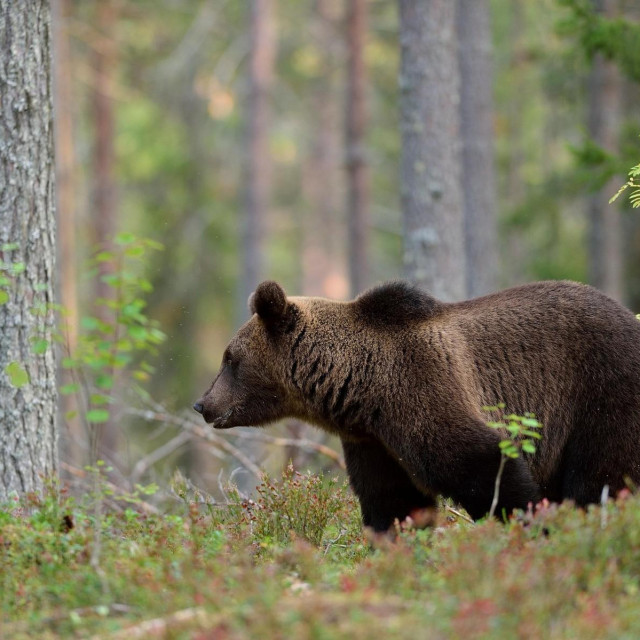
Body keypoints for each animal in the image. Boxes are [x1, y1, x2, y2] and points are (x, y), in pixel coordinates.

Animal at [192, 280, 640, 528]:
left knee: (600, 478)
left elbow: (486, 468)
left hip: (602, 393)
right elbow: (393, 502)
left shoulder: (424, 389)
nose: (202, 403)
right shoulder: (374, 443)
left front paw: (532, 524)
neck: (362, 389)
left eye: (230, 359)